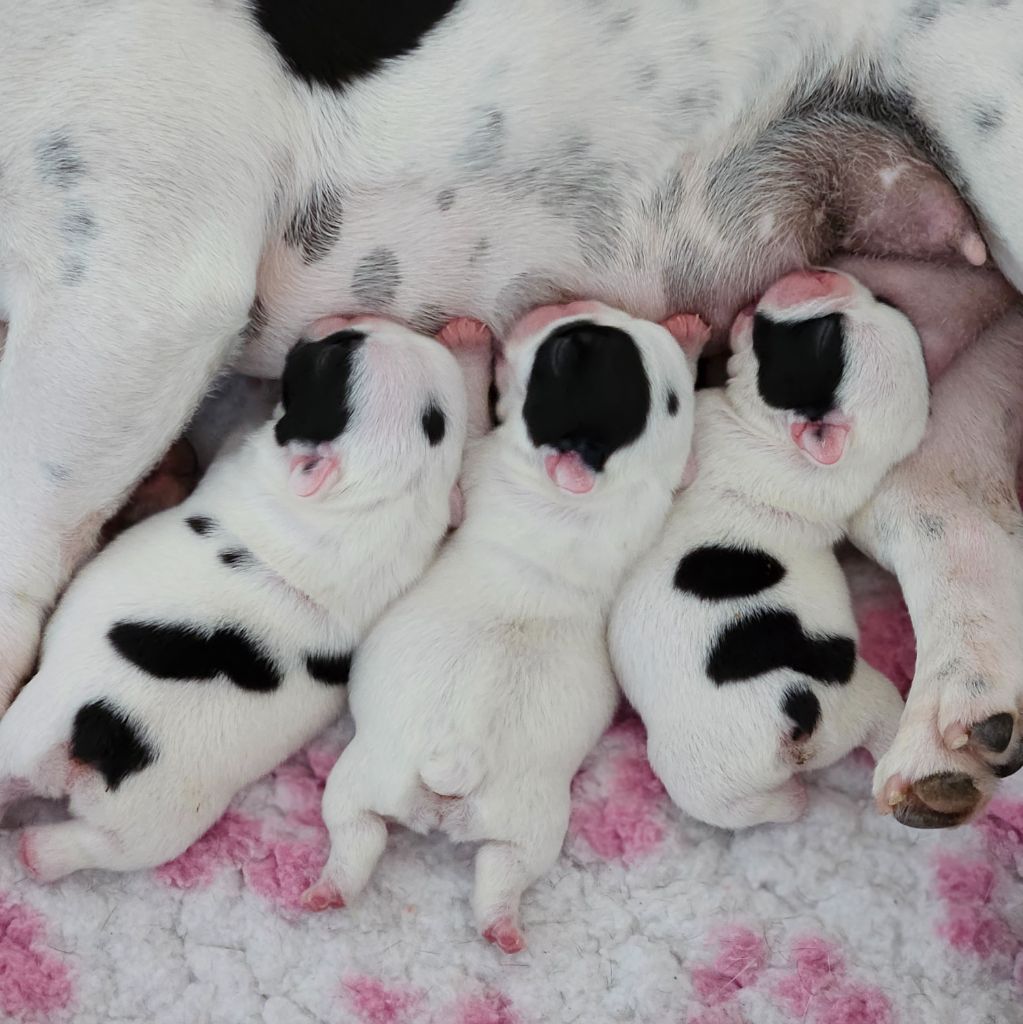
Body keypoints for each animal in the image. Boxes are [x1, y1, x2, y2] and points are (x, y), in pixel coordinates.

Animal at [0, 317, 475, 880]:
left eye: (333, 354)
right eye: (346, 346)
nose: (338, 321)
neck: (382, 499)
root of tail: (100, 740)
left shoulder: (241, 453)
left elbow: (237, 434)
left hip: (54, 749)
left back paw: (31, 851)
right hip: (138, 820)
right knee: (94, 847)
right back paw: (41, 854)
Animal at [303, 299, 704, 954]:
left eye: (560, 353)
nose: (559, 302)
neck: (597, 495)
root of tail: (456, 759)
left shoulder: (477, 464)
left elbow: (467, 424)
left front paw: (467, 345)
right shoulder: (661, 486)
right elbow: (685, 457)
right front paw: (691, 342)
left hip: (383, 779)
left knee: (358, 831)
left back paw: (333, 888)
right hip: (522, 822)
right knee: (498, 869)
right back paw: (498, 924)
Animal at [610, 270, 933, 831]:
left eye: (821, 339)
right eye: (883, 301)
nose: (825, 272)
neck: (821, 468)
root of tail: (799, 716)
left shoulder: (701, 432)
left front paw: (686, 340)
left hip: (701, 774)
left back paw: (795, 802)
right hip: (865, 703)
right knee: (883, 726)